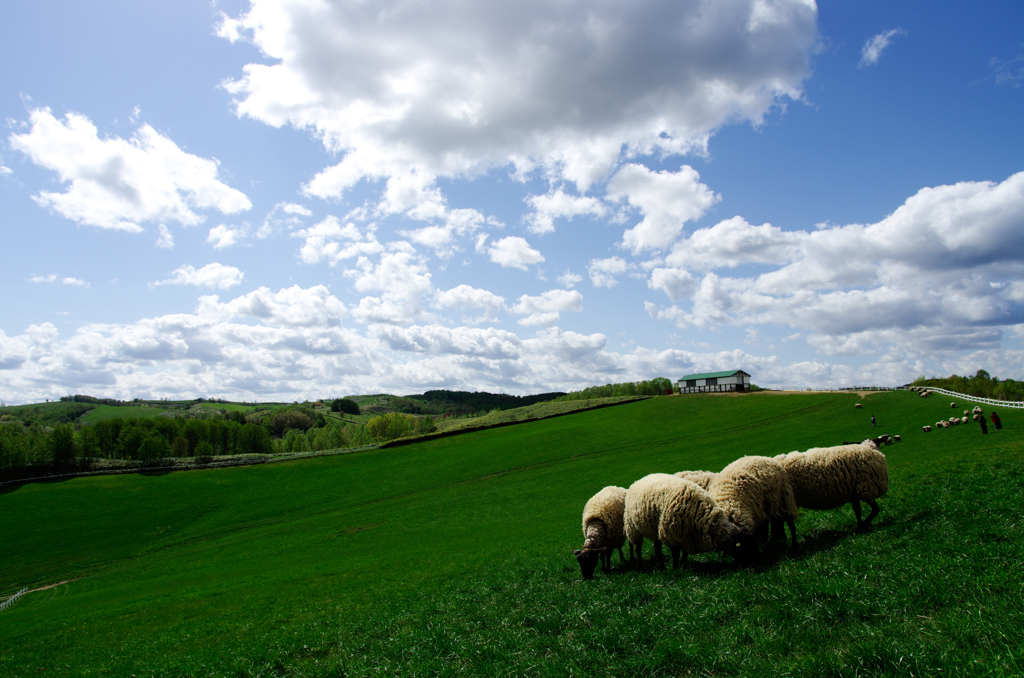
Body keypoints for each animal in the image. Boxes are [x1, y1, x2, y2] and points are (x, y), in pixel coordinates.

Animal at [618, 473, 757, 573]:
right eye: (745, 548)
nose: (752, 567)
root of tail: (639, 480)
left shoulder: (687, 536)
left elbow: (684, 553)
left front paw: (683, 565)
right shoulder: (670, 534)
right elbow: (675, 554)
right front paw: (675, 568)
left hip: (655, 528)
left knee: (657, 546)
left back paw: (661, 566)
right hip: (633, 527)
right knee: (638, 548)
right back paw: (641, 567)